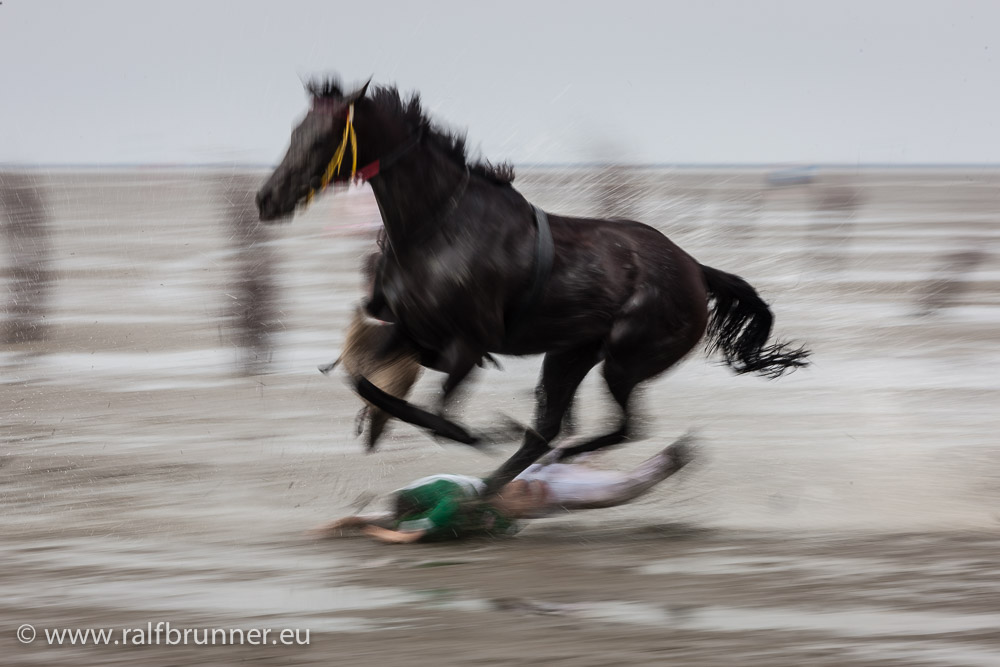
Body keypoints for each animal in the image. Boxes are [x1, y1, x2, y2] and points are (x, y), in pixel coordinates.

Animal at [254, 78, 808, 494]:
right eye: (296, 130)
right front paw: (375, 421)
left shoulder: (467, 345)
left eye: (322, 137)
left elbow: (438, 415)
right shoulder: (412, 332)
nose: (267, 199)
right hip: (569, 354)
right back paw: (505, 481)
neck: (435, 227)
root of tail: (696, 268)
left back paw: (529, 470)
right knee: (553, 429)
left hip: (624, 357)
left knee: (615, 427)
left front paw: (486, 432)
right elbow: (365, 381)